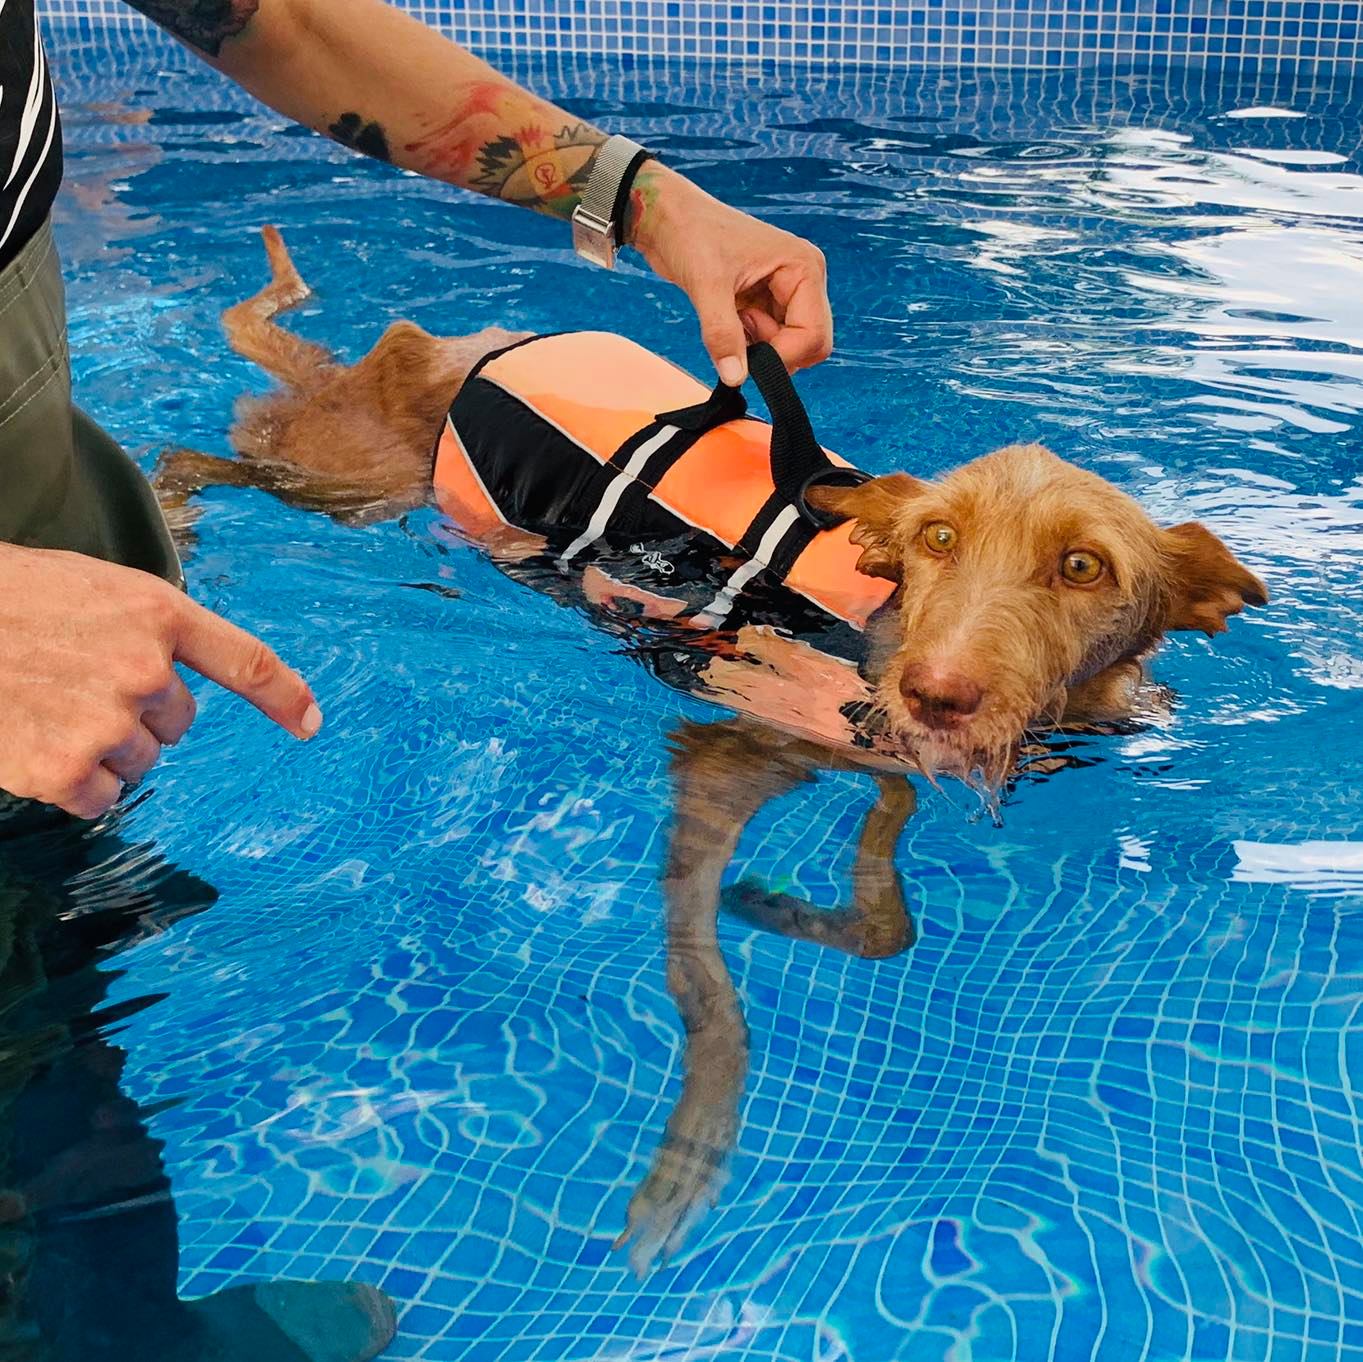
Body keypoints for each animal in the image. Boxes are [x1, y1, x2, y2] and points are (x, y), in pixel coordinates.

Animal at [156, 226, 1264, 1276]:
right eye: (937, 538)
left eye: (1082, 566)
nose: (937, 693)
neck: (872, 629)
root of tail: (445, 351)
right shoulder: (718, 756)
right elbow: (712, 990)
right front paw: (690, 1151)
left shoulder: (880, 754)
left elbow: (887, 889)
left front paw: (793, 904)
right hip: (342, 484)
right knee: (190, 454)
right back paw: (174, 526)